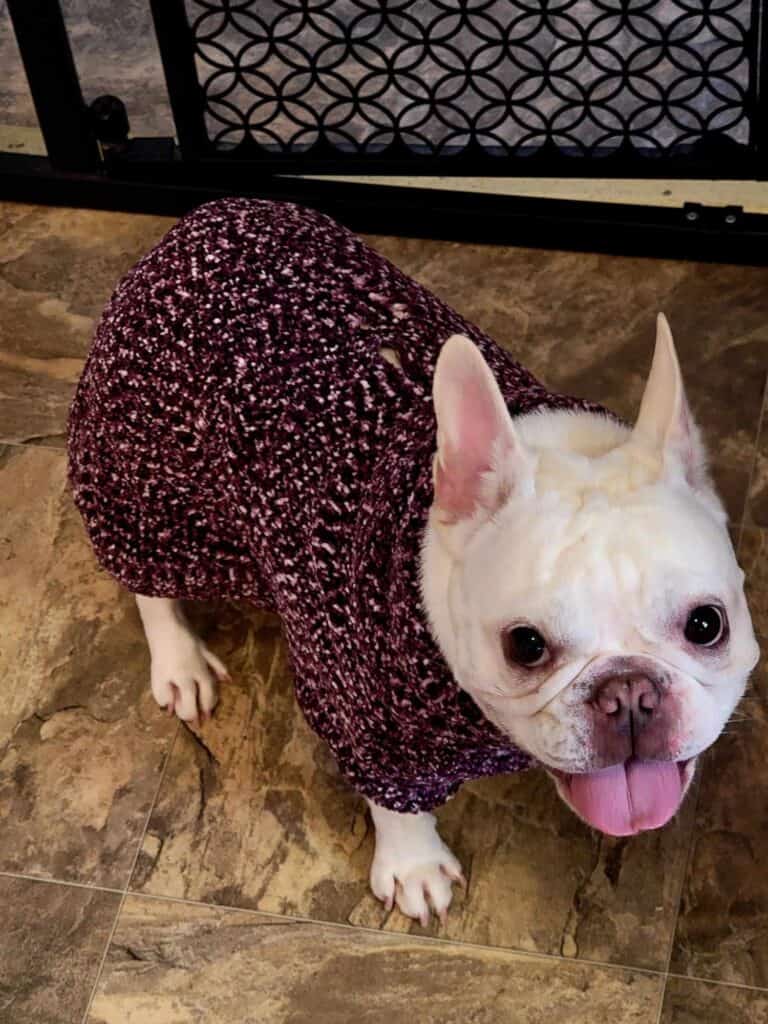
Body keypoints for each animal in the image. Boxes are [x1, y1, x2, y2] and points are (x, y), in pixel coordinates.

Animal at [69, 199, 761, 929]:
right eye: (525, 646)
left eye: (708, 625)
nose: (628, 694)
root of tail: (197, 219)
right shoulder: (371, 728)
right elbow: (394, 800)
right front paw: (413, 866)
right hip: (144, 480)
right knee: (146, 579)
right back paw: (180, 660)